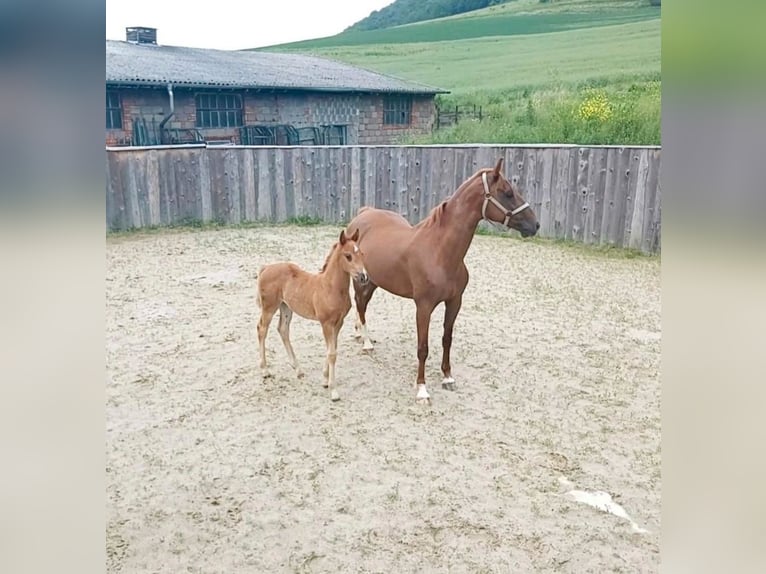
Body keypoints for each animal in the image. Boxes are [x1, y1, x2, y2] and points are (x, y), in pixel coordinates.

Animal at [256, 228, 370, 400]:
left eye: (362, 254)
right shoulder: (326, 323)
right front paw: (333, 391)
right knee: (262, 329)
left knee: (283, 330)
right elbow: (332, 353)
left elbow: (332, 349)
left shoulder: (338, 323)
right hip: (269, 307)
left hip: (286, 307)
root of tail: (266, 268)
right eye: (348, 256)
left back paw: (298, 369)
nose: (363, 277)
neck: (331, 288)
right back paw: (264, 370)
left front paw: (325, 380)